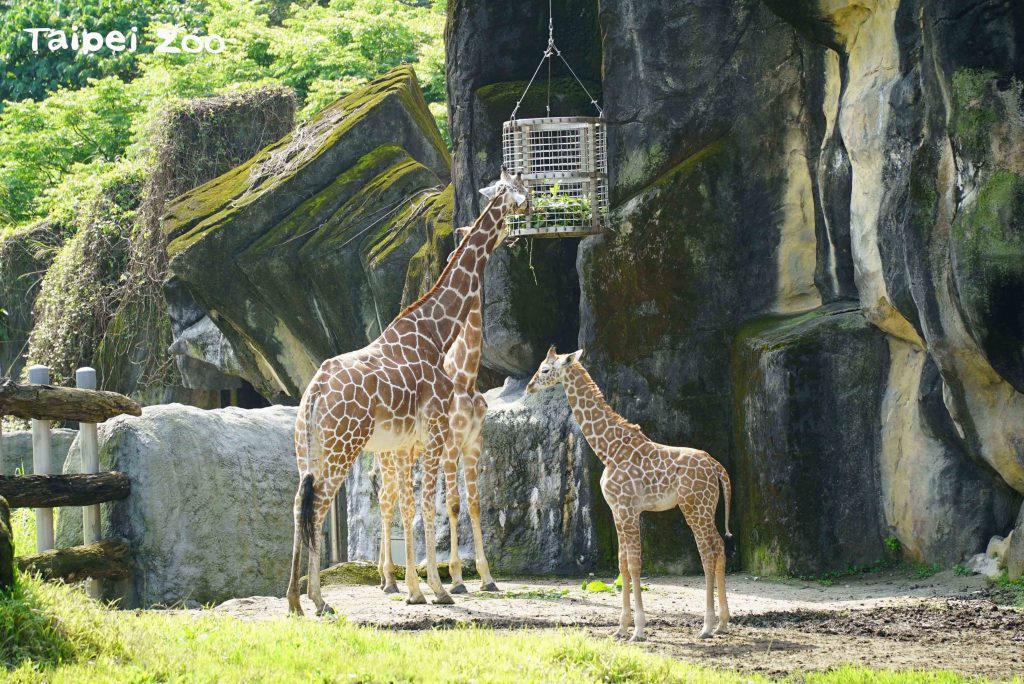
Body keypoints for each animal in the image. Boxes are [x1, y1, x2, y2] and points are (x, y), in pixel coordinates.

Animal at [378, 227, 501, 593]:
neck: (465, 375)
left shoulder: (474, 443)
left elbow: (474, 503)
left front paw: (487, 577)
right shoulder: (450, 446)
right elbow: (453, 504)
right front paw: (458, 578)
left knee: (393, 499)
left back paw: (394, 579)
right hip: (389, 457)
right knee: (386, 500)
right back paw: (390, 580)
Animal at [528, 348, 737, 643]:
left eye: (545, 369)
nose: (529, 386)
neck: (609, 449)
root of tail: (716, 466)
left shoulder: (629, 509)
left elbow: (636, 564)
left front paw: (638, 630)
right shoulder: (617, 510)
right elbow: (623, 564)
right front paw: (621, 628)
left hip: (694, 507)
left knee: (708, 553)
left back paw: (706, 626)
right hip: (706, 507)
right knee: (719, 547)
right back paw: (722, 624)